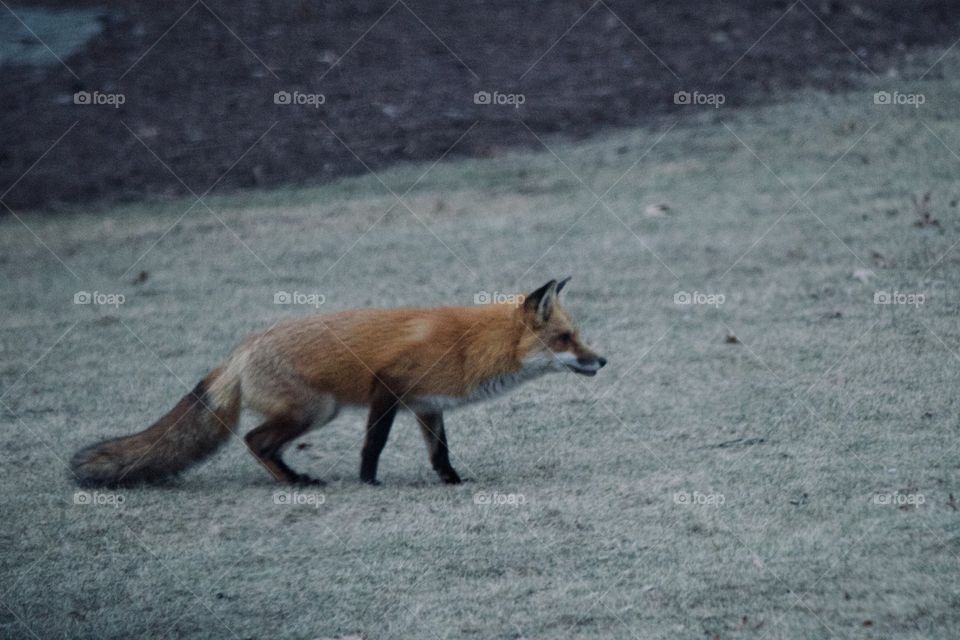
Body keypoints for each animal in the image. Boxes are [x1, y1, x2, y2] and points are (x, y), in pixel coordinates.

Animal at [70, 278, 606, 487]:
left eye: (578, 335)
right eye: (564, 338)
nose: (602, 360)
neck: (471, 345)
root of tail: (240, 351)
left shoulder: (427, 406)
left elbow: (440, 453)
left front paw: (451, 482)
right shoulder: (387, 388)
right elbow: (374, 444)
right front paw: (369, 482)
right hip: (315, 411)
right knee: (254, 440)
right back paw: (293, 481)